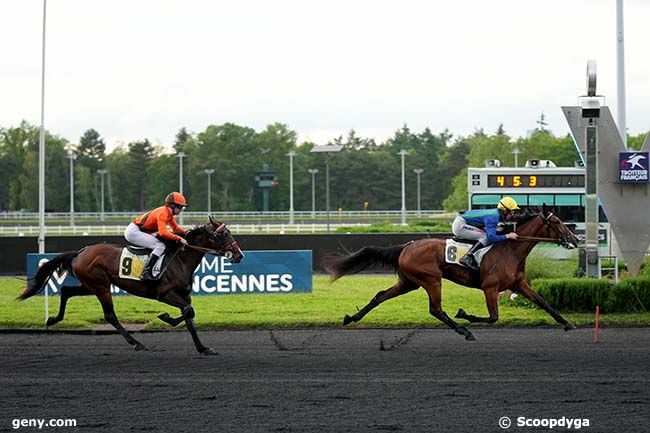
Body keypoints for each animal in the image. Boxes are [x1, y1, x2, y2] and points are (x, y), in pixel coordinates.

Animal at [17, 216, 242, 354]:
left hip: (90, 285)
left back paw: (53, 319)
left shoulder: (183, 295)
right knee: (110, 315)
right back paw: (137, 343)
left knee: (65, 291)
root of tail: (81, 252)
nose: (239, 255)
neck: (179, 259)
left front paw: (203, 348)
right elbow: (188, 311)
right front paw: (166, 317)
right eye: (223, 234)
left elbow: (190, 316)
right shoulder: (165, 294)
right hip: (101, 286)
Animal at [322, 208, 580, 340]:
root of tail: (407, 246)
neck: (510, 250)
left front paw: (568, 324)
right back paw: (463, 330)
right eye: (557, 221)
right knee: (435, 309)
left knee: (380, 296)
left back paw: (351, 318)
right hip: (431, 279)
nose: (575, 240)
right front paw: (465, 314)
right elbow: (493, 317)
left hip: (409, 282)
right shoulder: (490, 288)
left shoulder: (519, 285)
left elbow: (544, 303)